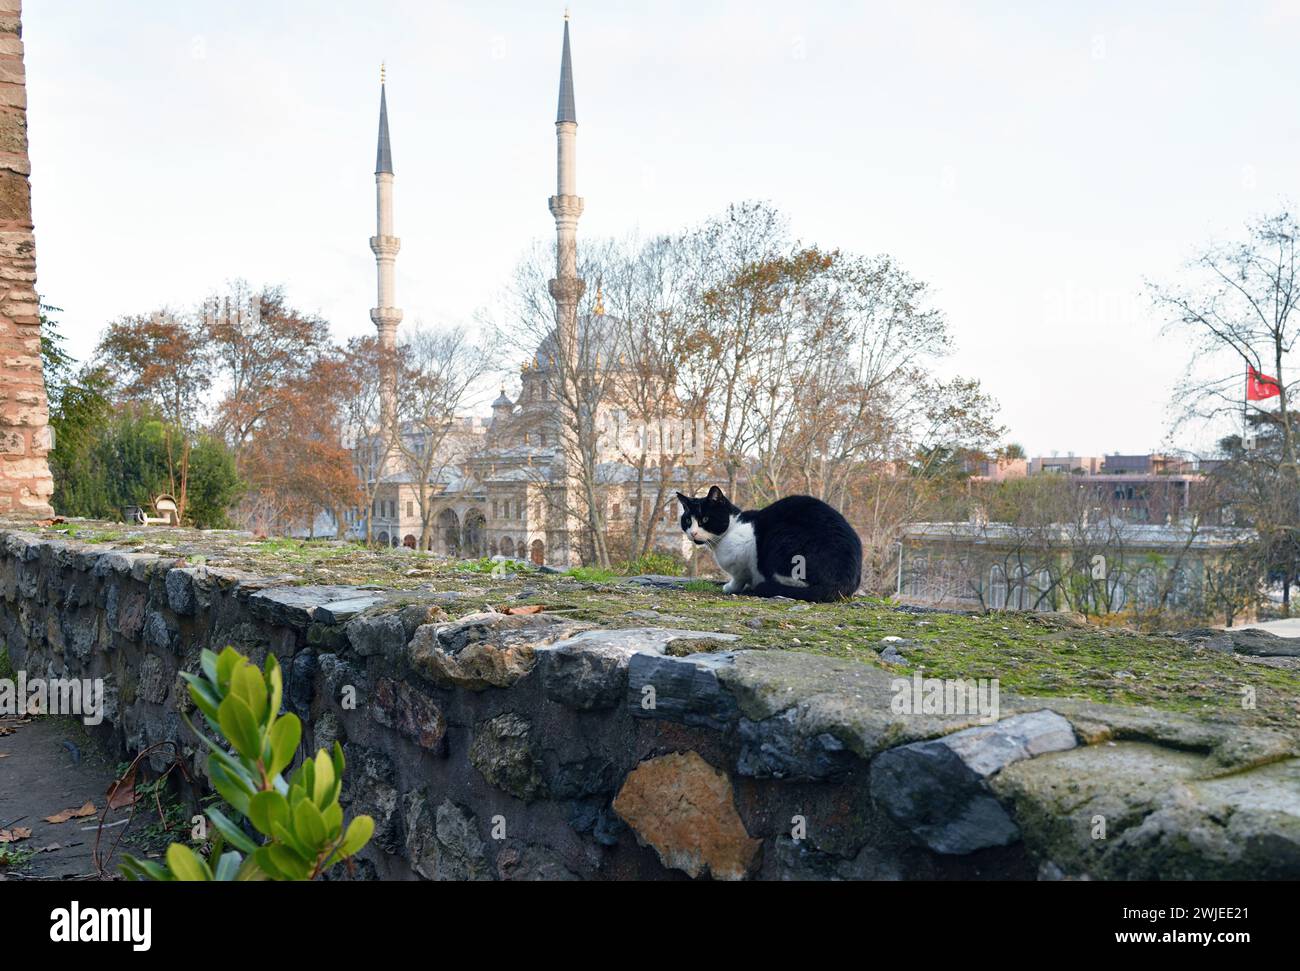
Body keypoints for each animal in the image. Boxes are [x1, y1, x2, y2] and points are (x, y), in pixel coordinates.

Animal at [681, 488, 863, 603]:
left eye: (705, 519)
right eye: (688, 521)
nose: (693, 533)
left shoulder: (744, 553)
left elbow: (739, 576)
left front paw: (731, 587)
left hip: (781, 540)